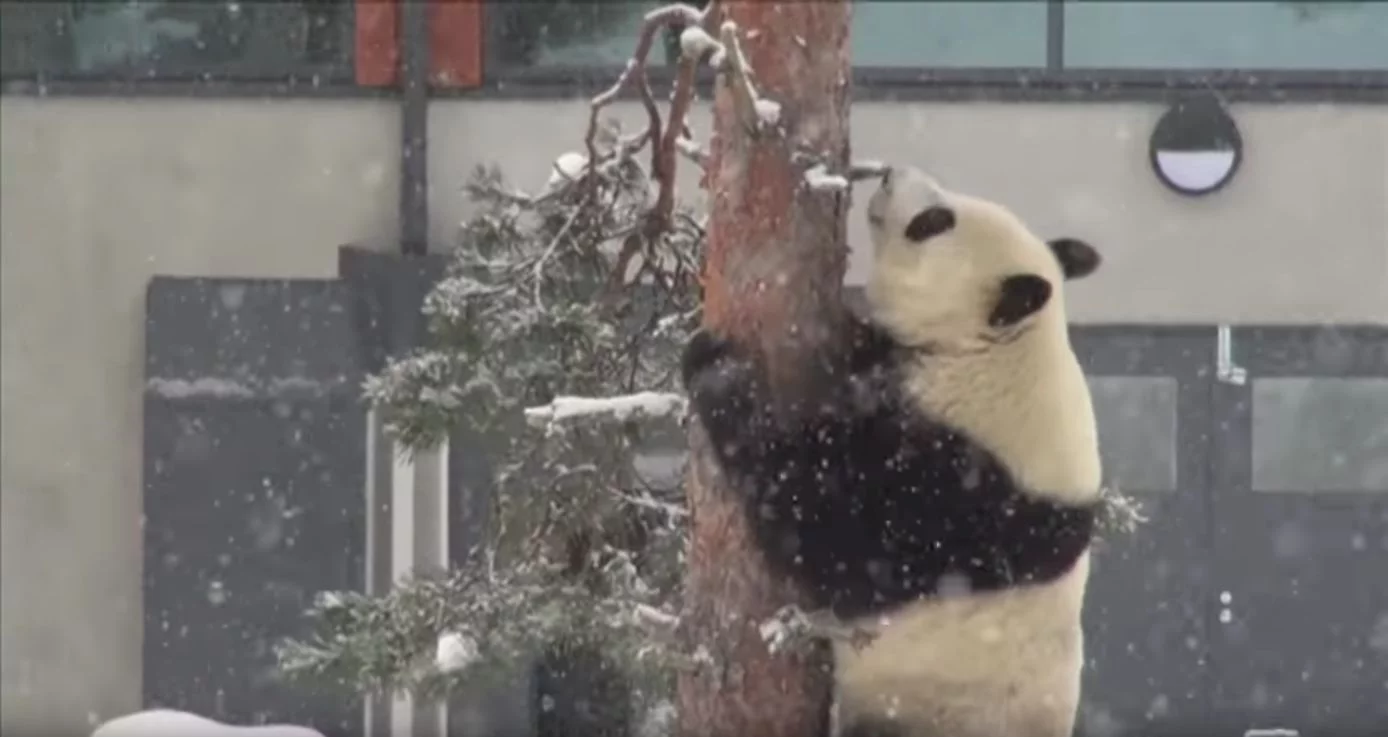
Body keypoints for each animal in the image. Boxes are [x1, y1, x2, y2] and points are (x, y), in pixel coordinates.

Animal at [680, 165, 1104, 737]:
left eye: (934, 221)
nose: (888, 174)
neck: (996, 352)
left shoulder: (964, 489)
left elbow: (830, 527)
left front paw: (718, 371)